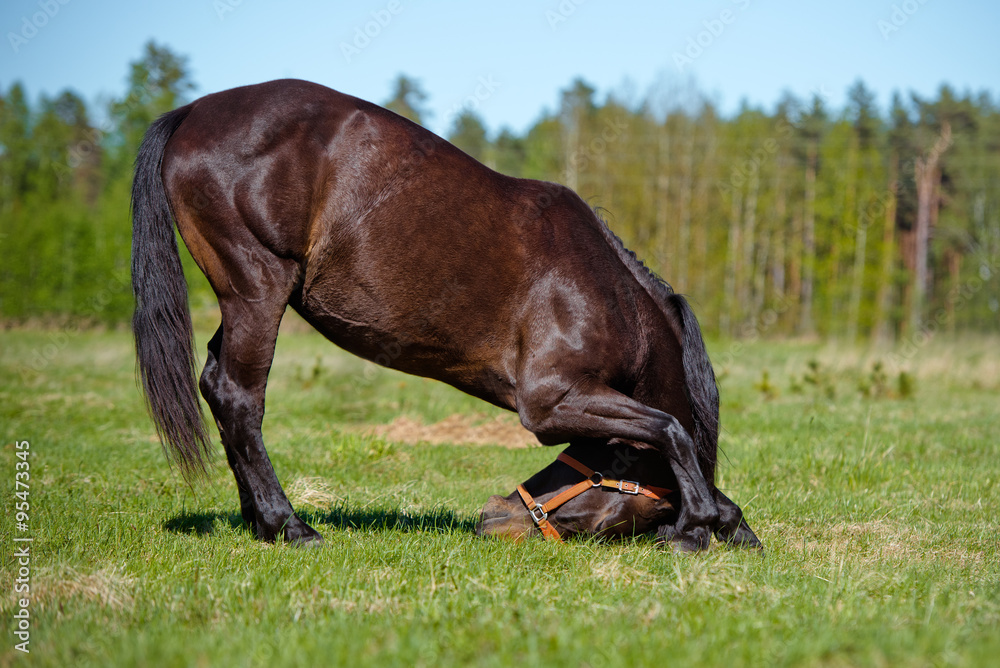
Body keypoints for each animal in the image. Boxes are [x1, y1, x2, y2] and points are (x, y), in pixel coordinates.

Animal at [131, 79, 760, 552]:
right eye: (630, 509)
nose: (495, 516)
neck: (609, 295)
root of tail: (193, 112)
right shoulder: (552, 400)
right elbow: (672, 429)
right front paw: (699, 526)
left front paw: (730, 524)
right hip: (258, 289)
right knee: (239, 397)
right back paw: (287, 525)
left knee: (217, 385)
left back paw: (257, 519)